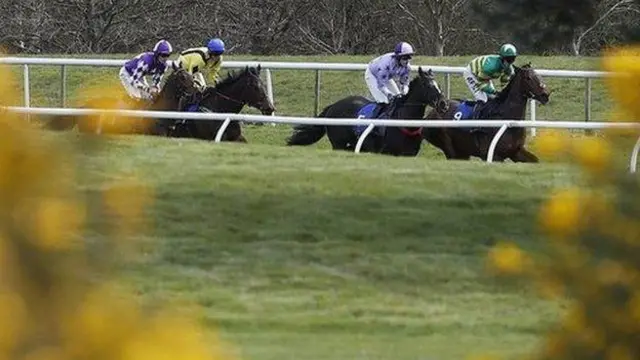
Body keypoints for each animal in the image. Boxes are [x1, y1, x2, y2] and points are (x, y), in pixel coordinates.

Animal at [288, 67, 448, 156]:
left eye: (439, 85)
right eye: (427, 85)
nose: (444, 104)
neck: (404, 121)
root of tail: (333, 106)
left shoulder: (409, 154)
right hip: (338, 145)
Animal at [424, 63, 552, 162]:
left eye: (538, 75)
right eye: (528, 78)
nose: (545, 95)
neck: (505, 117)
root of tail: (429, 115)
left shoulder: (516, 152)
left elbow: (535, 160)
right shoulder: (493, 155)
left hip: (463, 151)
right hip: (450, 148)